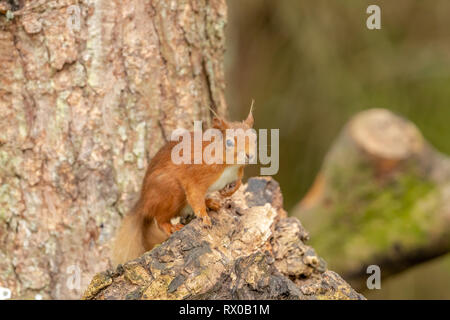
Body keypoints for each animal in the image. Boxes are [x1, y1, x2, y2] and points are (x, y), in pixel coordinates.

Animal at [111, 109, 256, 264]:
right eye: (229, 142)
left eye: (255, 138)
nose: (250, 155)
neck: (229, 165)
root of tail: (144, 203)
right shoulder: (194, 175)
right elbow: (195, 196)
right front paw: (204, 217)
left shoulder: (237, 173)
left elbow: (238, 183)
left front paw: (227, 192)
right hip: (170, 190)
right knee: (160, 219)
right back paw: (171, 227)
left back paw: (210, 202)